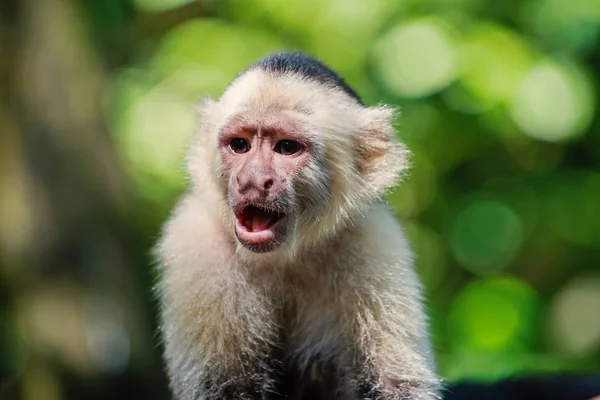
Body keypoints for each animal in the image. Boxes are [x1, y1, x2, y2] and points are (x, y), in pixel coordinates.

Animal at [156, 53, 440, 400]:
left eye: (287, 148)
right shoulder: (195, 243)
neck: (282, 257)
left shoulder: (375, 239)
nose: (252, 180)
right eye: (239, 145)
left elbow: (394, 386)